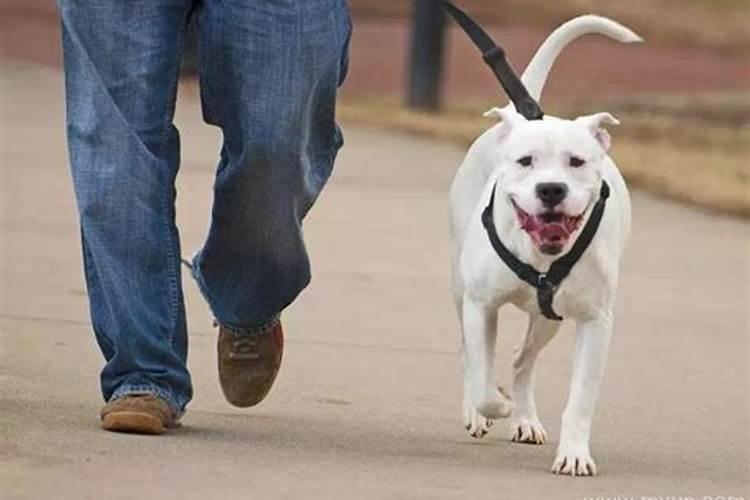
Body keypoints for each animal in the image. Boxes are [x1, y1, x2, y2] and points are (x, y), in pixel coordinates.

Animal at [450, 16, 644, 476]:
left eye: (577, 161)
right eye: (525, 161)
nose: (552, 189)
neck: (539, 255)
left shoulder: (595, 322)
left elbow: (581, 401)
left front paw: (574, 454)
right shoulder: (480, 305)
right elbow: (481, 376)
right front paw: (491, 406)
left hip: (548, 319)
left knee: (522, 359)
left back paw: (525, 418)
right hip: (461, 291)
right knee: (472, 356)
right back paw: (482, 412)